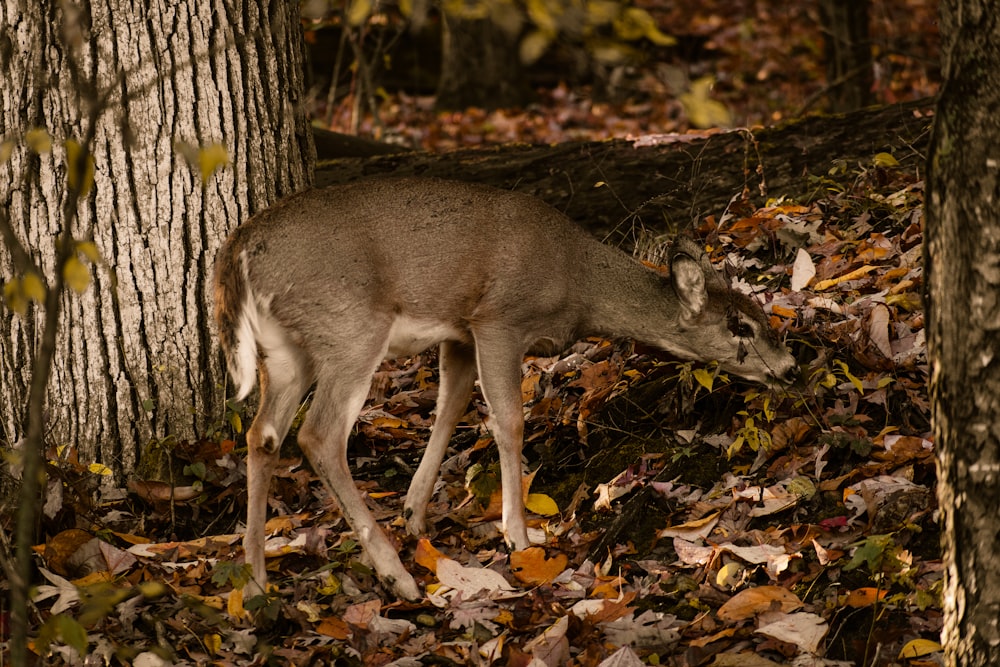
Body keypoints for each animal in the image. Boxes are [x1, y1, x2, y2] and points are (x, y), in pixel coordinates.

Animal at [213, 176, 796, 600]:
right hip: (350, 328)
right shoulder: (499, 319)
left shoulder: (458, 331)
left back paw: (257, 580)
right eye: (740, 326)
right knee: (318, 436)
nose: (790, 366)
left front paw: (415, 512)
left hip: (286, 350)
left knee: (263, 435)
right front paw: (518, 534)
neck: (578, 284)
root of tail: (236, 251)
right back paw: (395, 576)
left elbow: (450, 407)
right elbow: (509, 420)